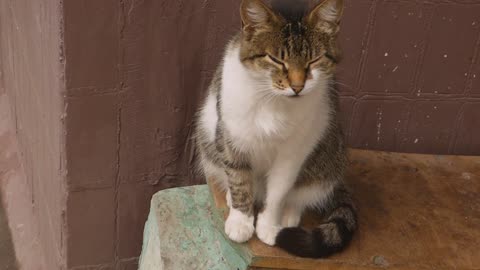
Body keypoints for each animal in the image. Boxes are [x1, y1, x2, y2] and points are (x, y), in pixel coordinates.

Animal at [194, 0, 356, 258]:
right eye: (276, 60)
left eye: (314, 60)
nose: (298, 87)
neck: (273, 102)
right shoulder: (232, 137)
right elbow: (239, 180)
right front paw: (240, 221)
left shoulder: (293, 153)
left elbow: (279, 190)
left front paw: (269, 226)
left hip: (329, 155)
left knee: (303, 193)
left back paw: (289, 215)